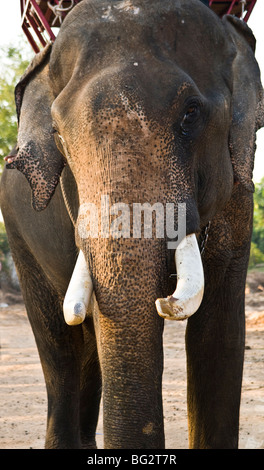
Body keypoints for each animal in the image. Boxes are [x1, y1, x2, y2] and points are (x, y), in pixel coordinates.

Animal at [0, 0, 264, 448]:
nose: (163, 300)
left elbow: (220, 334)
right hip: (17, 231)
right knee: (61, 346)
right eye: (58, 135)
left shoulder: (238, 199)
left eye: (191, 113)